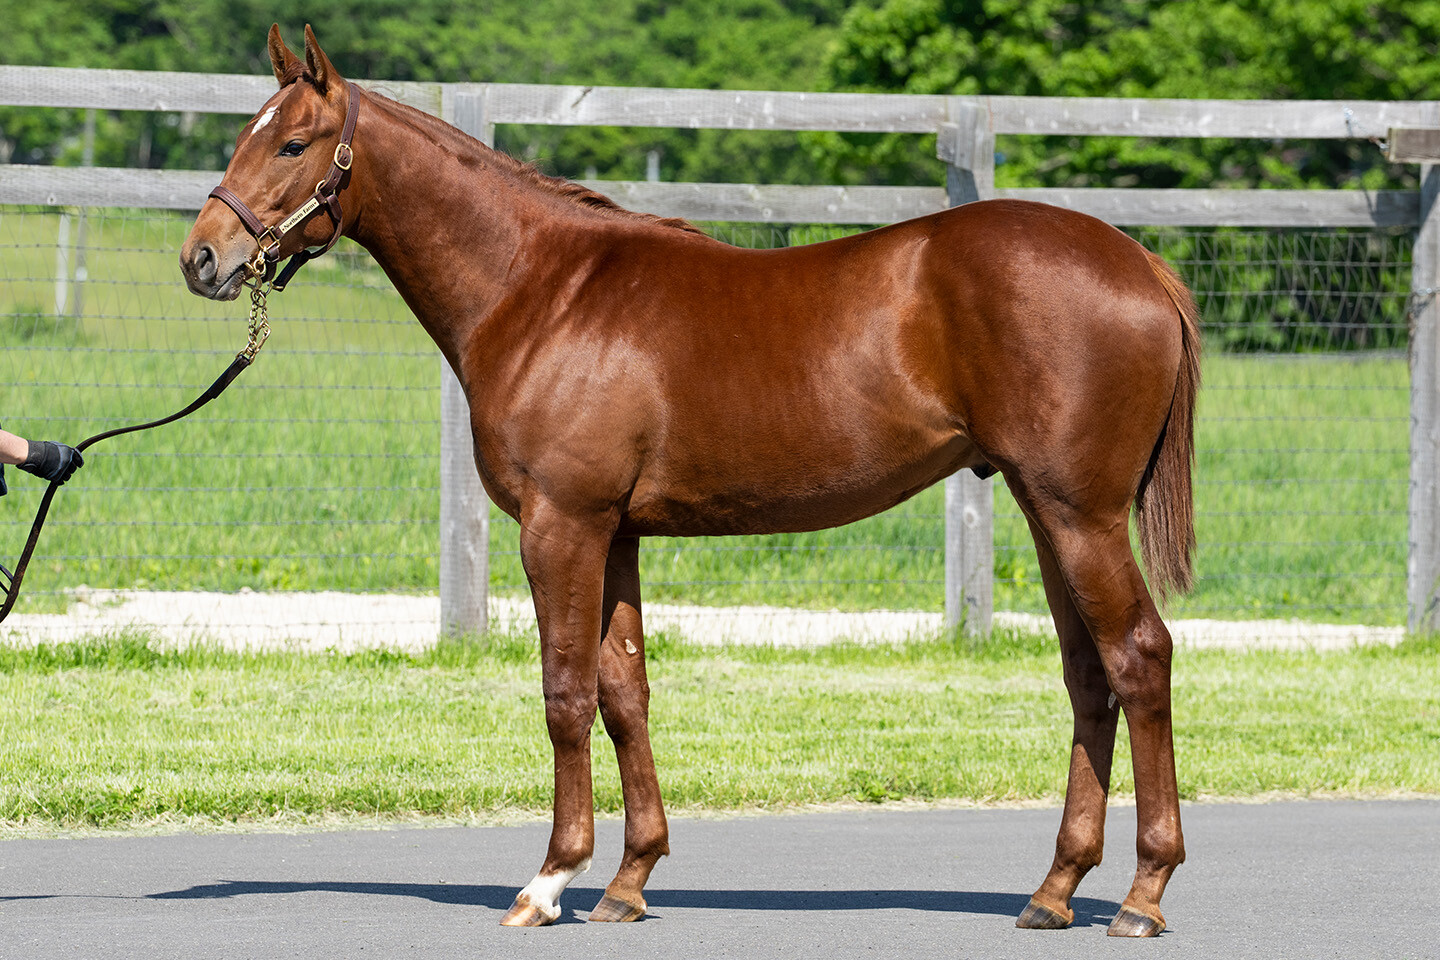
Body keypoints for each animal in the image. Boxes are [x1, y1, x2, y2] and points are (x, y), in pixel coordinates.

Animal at [180, 25, 1200, 937]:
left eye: (292, 143)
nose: (202, 259)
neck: (543, 290)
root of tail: (1142, 263)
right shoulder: (617, 533)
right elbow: (623, 693)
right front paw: (629, 881)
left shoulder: (561, 525)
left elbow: (564, 693)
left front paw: (550, 881)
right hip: (1045, 511)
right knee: (1088, 675)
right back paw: (1055, 890)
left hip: (1080, 515)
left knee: (1139, 657)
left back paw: (1146, 895)